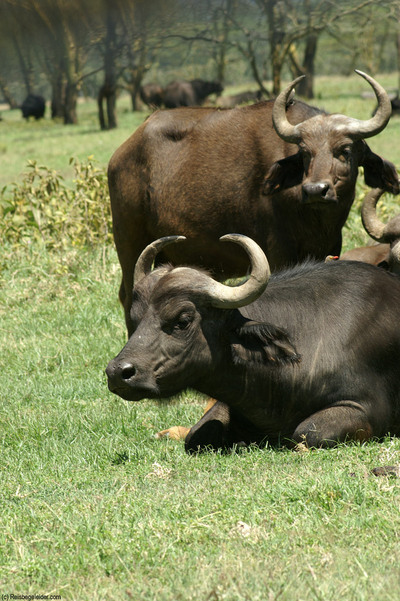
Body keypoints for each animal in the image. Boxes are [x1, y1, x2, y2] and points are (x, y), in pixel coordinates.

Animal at [105, 234, 400, 450]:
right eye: (135, 318)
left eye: (182, 320)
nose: (118, 372)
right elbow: (198, 435)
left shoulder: (363, 408)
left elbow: (306, 433)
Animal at [108, 70, 398, 336]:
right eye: (305, 153)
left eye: (345, 151)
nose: (316, 190)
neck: (315, 220)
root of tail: (120, 154)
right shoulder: (278, 254)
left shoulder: (329, 248)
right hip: (129, 243)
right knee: (128, 295)